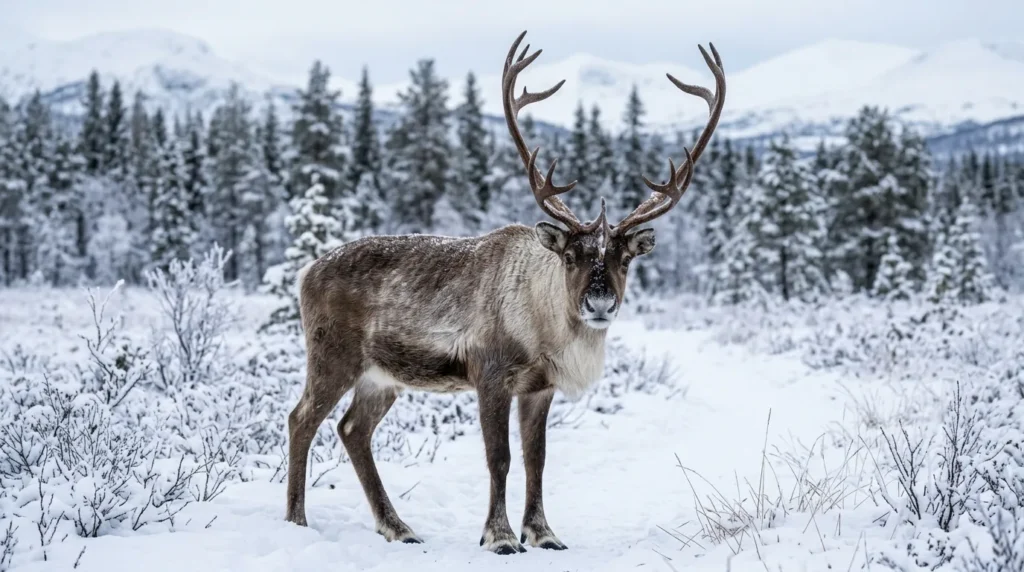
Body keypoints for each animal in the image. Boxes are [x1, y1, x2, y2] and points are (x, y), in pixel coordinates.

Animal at [284, 30, 726, 555]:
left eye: (624, 259)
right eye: (570, 256)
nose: (599, 303)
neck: (543, 328)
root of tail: (306, 272)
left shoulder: (539, 388)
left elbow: (537, 459)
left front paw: (544, 532)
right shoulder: (490, 375)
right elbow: (500, 458)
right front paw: (499, 536)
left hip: (382, 376)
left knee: (352, 430)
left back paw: (398, 526)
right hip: (333, 356)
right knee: (301, 420)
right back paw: (296, 521)